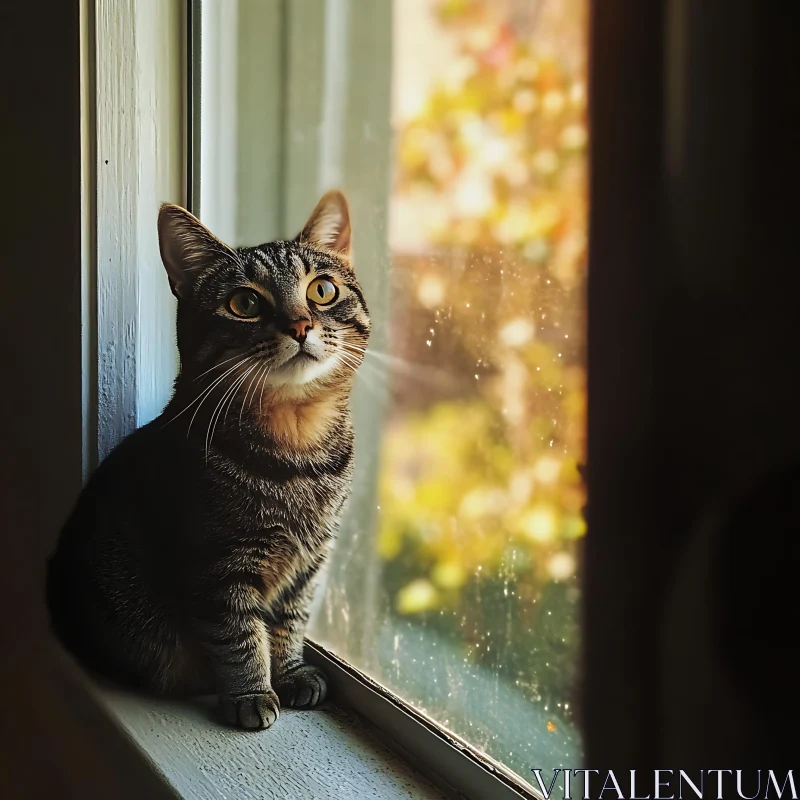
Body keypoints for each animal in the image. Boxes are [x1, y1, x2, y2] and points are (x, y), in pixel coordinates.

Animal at [44, 191, 368, 728]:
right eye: (244, 303)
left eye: (322, 290)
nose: (301, 325)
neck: (298, 447)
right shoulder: (218, 566)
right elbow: (238, 637)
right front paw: (251, 694)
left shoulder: (309, 564)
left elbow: (290, 621)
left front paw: (290, 671)